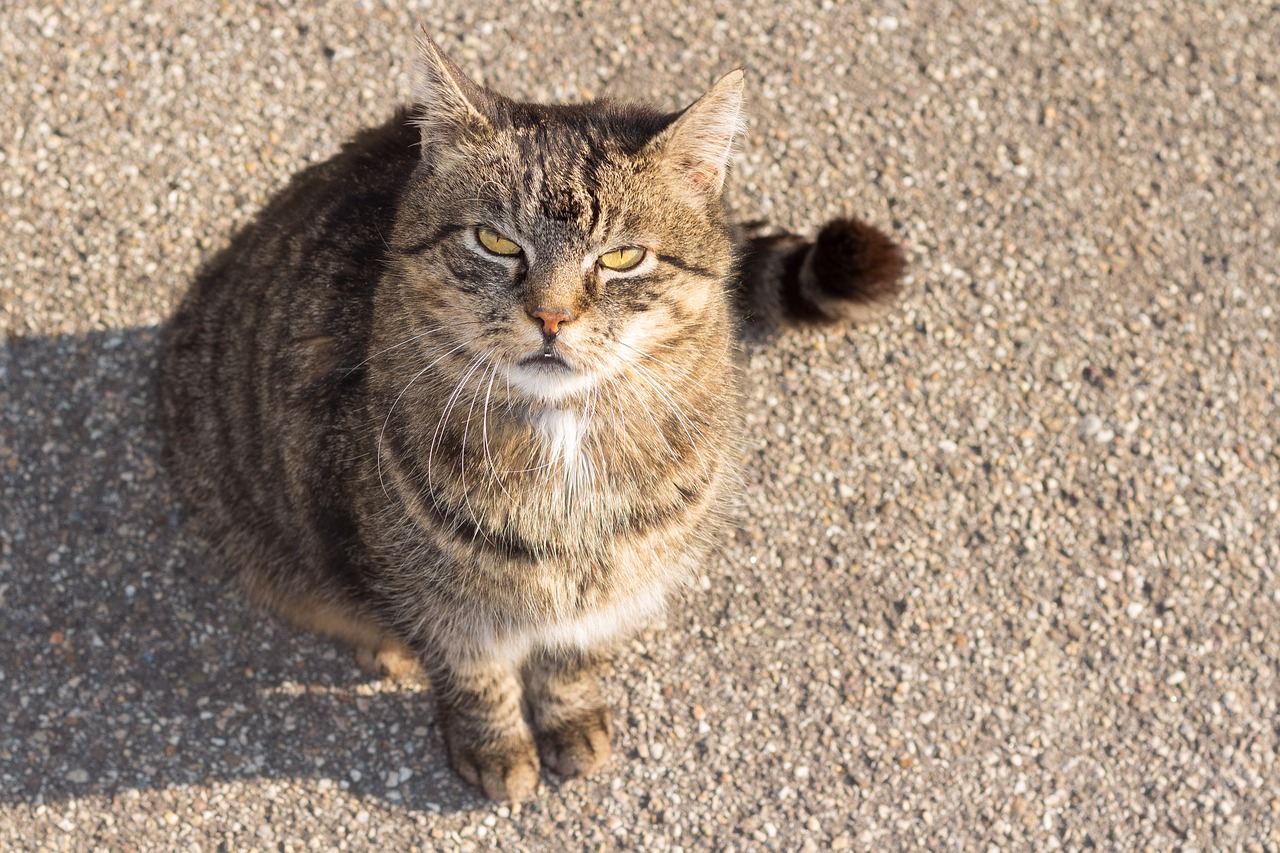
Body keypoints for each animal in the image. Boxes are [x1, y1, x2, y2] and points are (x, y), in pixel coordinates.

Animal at [154, 31, 906, 799]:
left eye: (623, 256)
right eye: (497, 243)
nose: (551, 315)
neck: (563, 439)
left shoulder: (610, 588)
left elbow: (571, 661)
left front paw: (569, 720)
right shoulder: (432, 598)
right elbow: (474, 674)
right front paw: (496, 746)